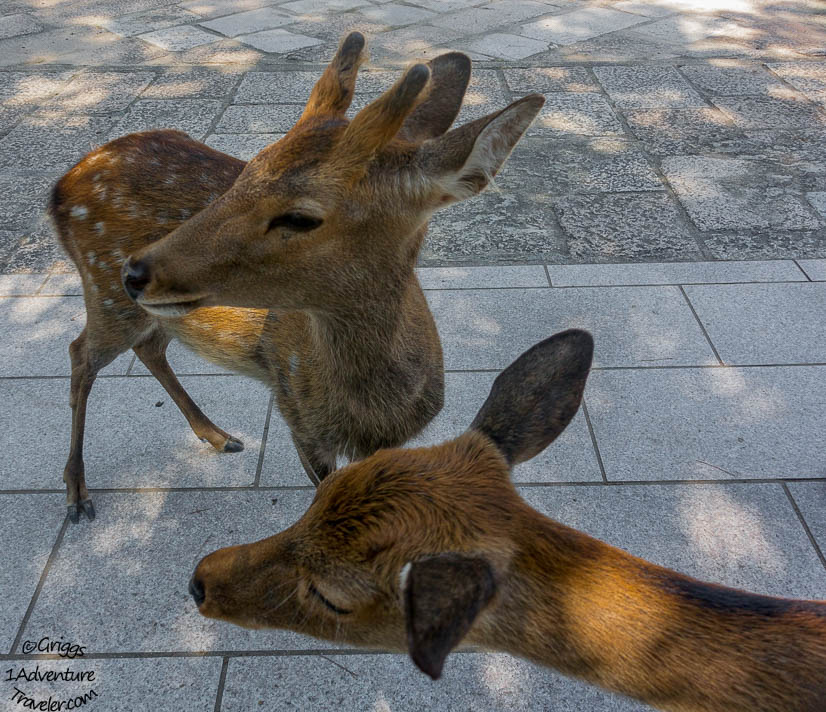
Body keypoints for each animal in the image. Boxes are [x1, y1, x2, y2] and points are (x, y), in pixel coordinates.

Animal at [48, 32, 544, 524]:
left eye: (301, 217)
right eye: (245, 172)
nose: (135, 271)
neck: (376, 409)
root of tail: (58, 188)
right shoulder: (298, 416)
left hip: (149, 310)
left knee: (149, 347)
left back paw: (218, 435)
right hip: (105, 294)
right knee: (80, 353)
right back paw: (76, 493)